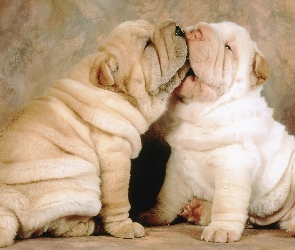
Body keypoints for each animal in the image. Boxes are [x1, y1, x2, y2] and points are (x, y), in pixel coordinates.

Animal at [0, 19, 190, 246]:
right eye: (147, 45)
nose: (178, 28)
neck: (115, 91)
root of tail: (6, 211)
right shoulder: (115, 154)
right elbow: (118, 198)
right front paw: (125, 228)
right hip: (82, 183)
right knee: (56, 227)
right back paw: (94, 225)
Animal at [139, 21, 295, 242]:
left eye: (229, 48)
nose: (195, 33)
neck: (201, 111)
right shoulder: (176, 167)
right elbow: (166, 196)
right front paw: (154, 215)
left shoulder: (233, 165)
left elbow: (226, 203)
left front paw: (221, 230)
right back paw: (197, 210)